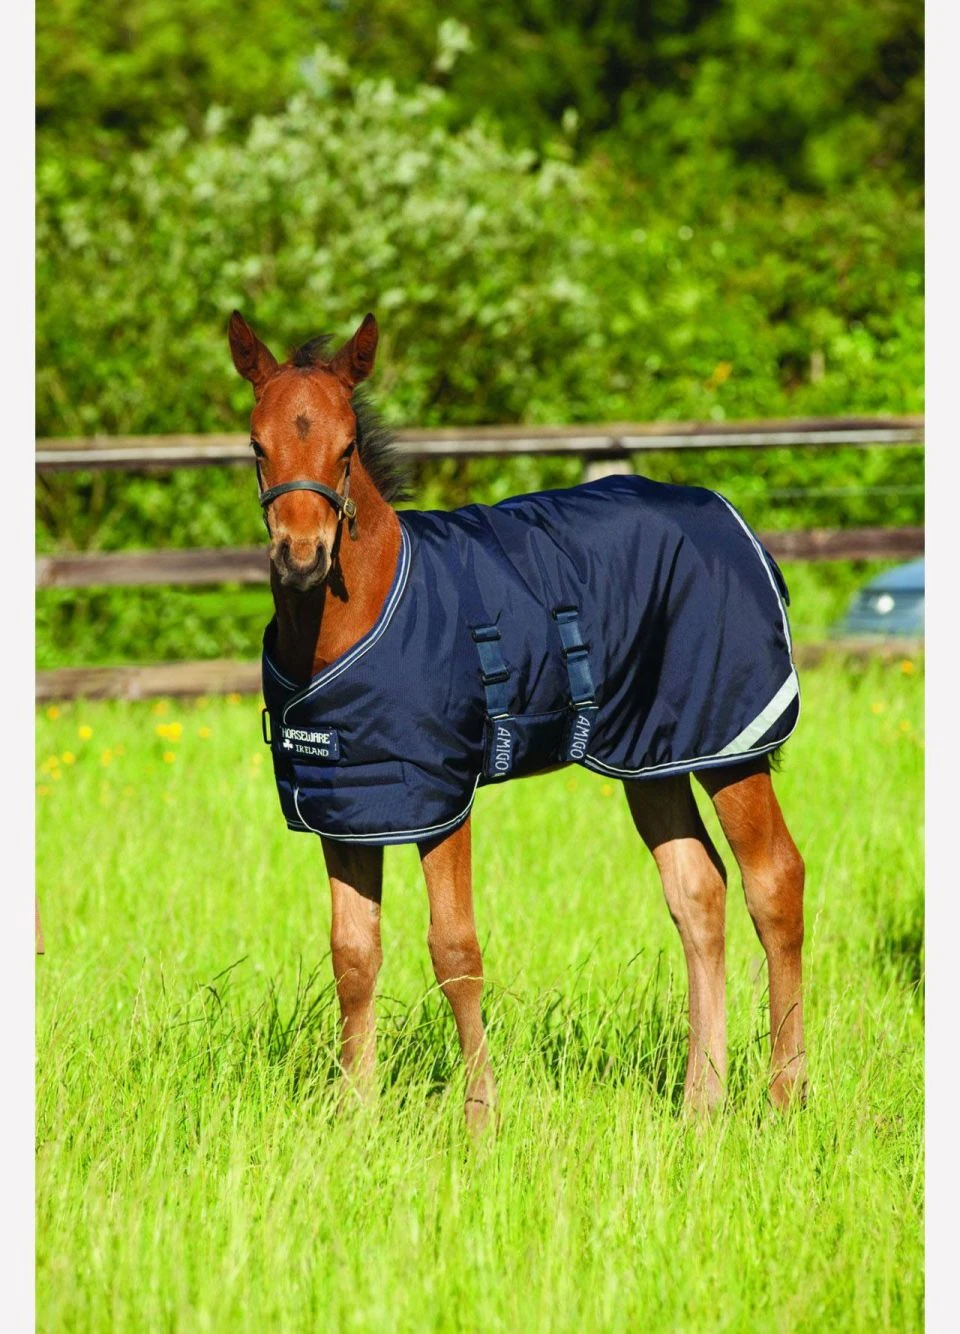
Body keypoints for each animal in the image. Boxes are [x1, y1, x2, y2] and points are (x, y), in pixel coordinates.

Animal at [228, 310, 807, 1133]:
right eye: (257, 445)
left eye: (346, 447)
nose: (302, 557)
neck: (359, 613)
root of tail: (738, 524)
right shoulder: (347, 806)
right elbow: (353, 954)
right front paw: (353, 1117)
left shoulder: (439, 795)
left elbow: (454, 951)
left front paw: (480, 1120)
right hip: (652, 755)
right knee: (698, 891)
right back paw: (702, 1102)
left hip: (730, 744)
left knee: (773, 881)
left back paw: (786, 1096)